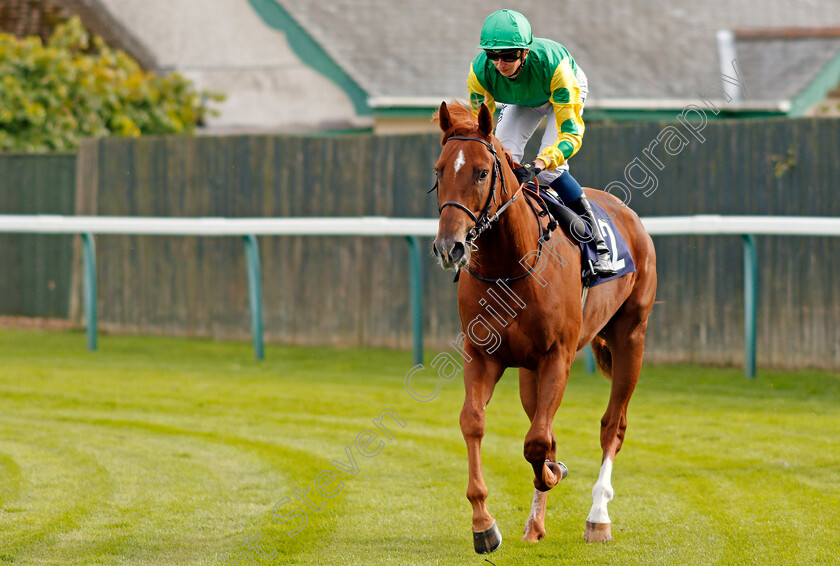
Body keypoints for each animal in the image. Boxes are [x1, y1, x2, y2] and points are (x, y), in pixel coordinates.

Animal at [434, 101, 656, 556]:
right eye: (439, 171)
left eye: (481, 172)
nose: (450, 247)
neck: (509, 264)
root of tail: (627, 215)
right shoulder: (483, 355)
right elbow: (475, 422)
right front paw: (484, 524)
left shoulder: (558, 355)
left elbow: (537, 441)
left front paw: (554, 472)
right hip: (528, 372)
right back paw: (535, 523)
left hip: (631, 338)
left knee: (612, 425)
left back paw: (598, 516)